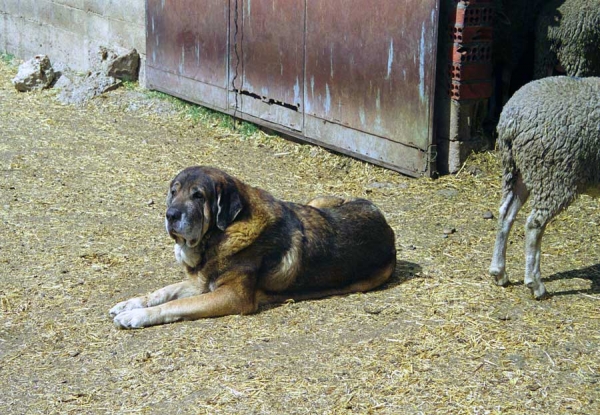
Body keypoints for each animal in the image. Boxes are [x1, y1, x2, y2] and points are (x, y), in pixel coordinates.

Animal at [109, 166, 396, 328]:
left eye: (198, 195)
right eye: (173, 191)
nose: (171, 215)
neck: (221, 235)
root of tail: (388, 227)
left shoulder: (232, 296)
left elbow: (176, 305)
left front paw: (136, 316)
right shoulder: (201, 282)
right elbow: (163, 292)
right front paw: (129, 304)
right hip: (316, 202)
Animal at [488, 75, 600, 300]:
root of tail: (511, 118)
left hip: (518, 170)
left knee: (505, 213)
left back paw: (499, 273)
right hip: (554, 174)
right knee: (534, 225)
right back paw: (535, 284)